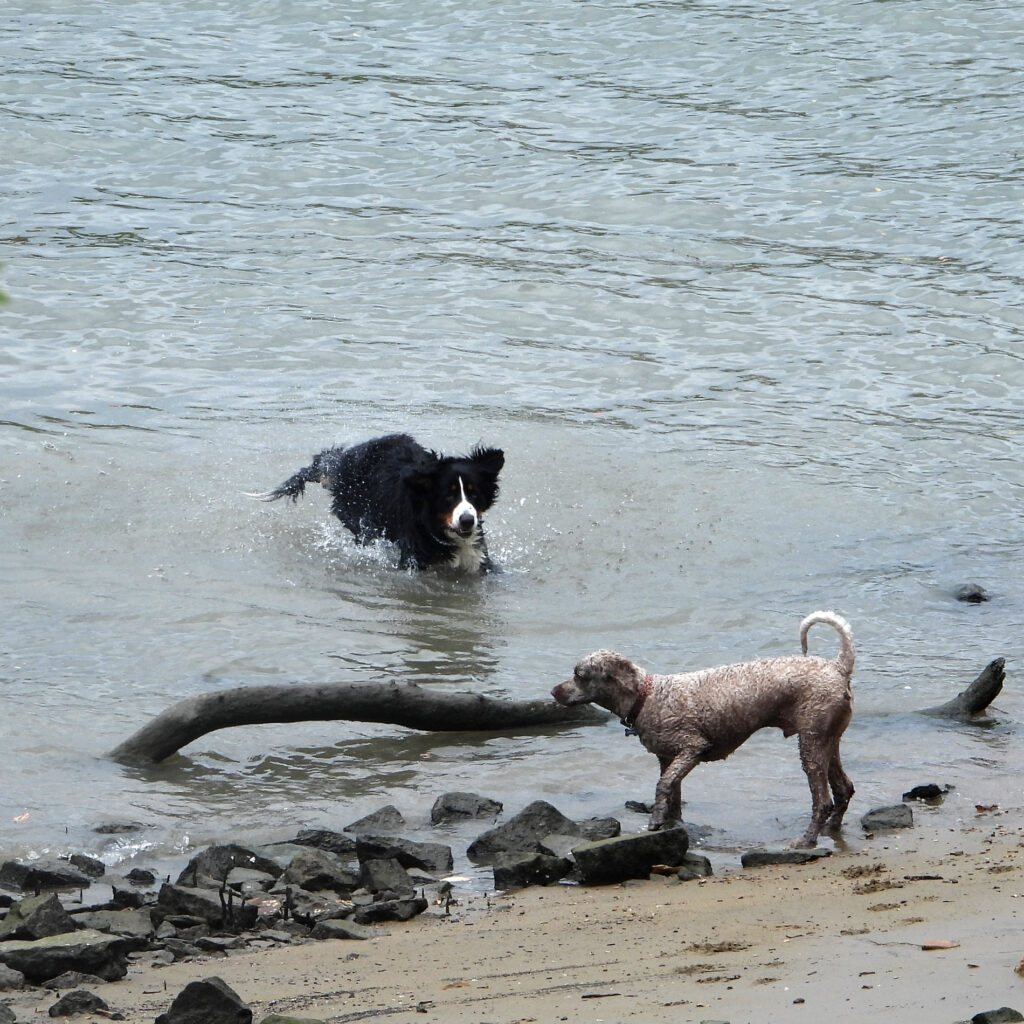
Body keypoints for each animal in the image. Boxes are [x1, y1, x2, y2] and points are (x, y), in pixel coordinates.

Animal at [261, 433, 504, 571]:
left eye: (474, 494)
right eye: (448, 496)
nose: (467, 520)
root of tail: (341, 461)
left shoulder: (477, 554)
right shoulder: (414, 559)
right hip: (362, 523)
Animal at [552, 611, 855, 848]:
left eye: (579, 675)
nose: (553, 691)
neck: (647, 697)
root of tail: (838, 666)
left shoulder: (692, 749)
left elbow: (663, 785)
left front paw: (654, 822)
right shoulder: (667, 759)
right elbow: (673, 795)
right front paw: (670, 825)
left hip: (811, 745)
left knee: (823, 801)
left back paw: (807, 840)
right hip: (827, 742)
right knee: (844, 789)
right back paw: (832, 830)